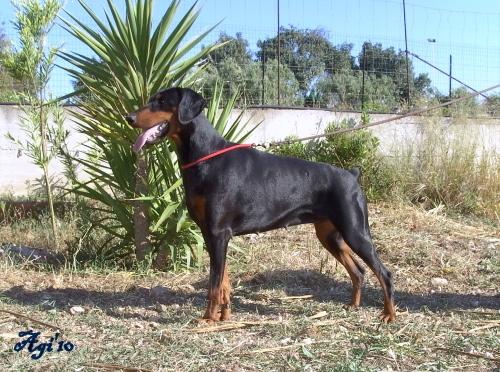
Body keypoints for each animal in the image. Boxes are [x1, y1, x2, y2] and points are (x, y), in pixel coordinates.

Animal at [127, 87, 396, 322]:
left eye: (162, 101)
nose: (129, 118)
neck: (205, 156)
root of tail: (351, 175)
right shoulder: (212, 234)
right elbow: (223, 281)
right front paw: (224, 316)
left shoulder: (218, 233)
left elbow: (214, 284)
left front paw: (208, 319)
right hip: (330, 235)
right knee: (358, 271)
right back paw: (353, 305)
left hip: (355, 231)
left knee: (384, 273)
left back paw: (388, 315)